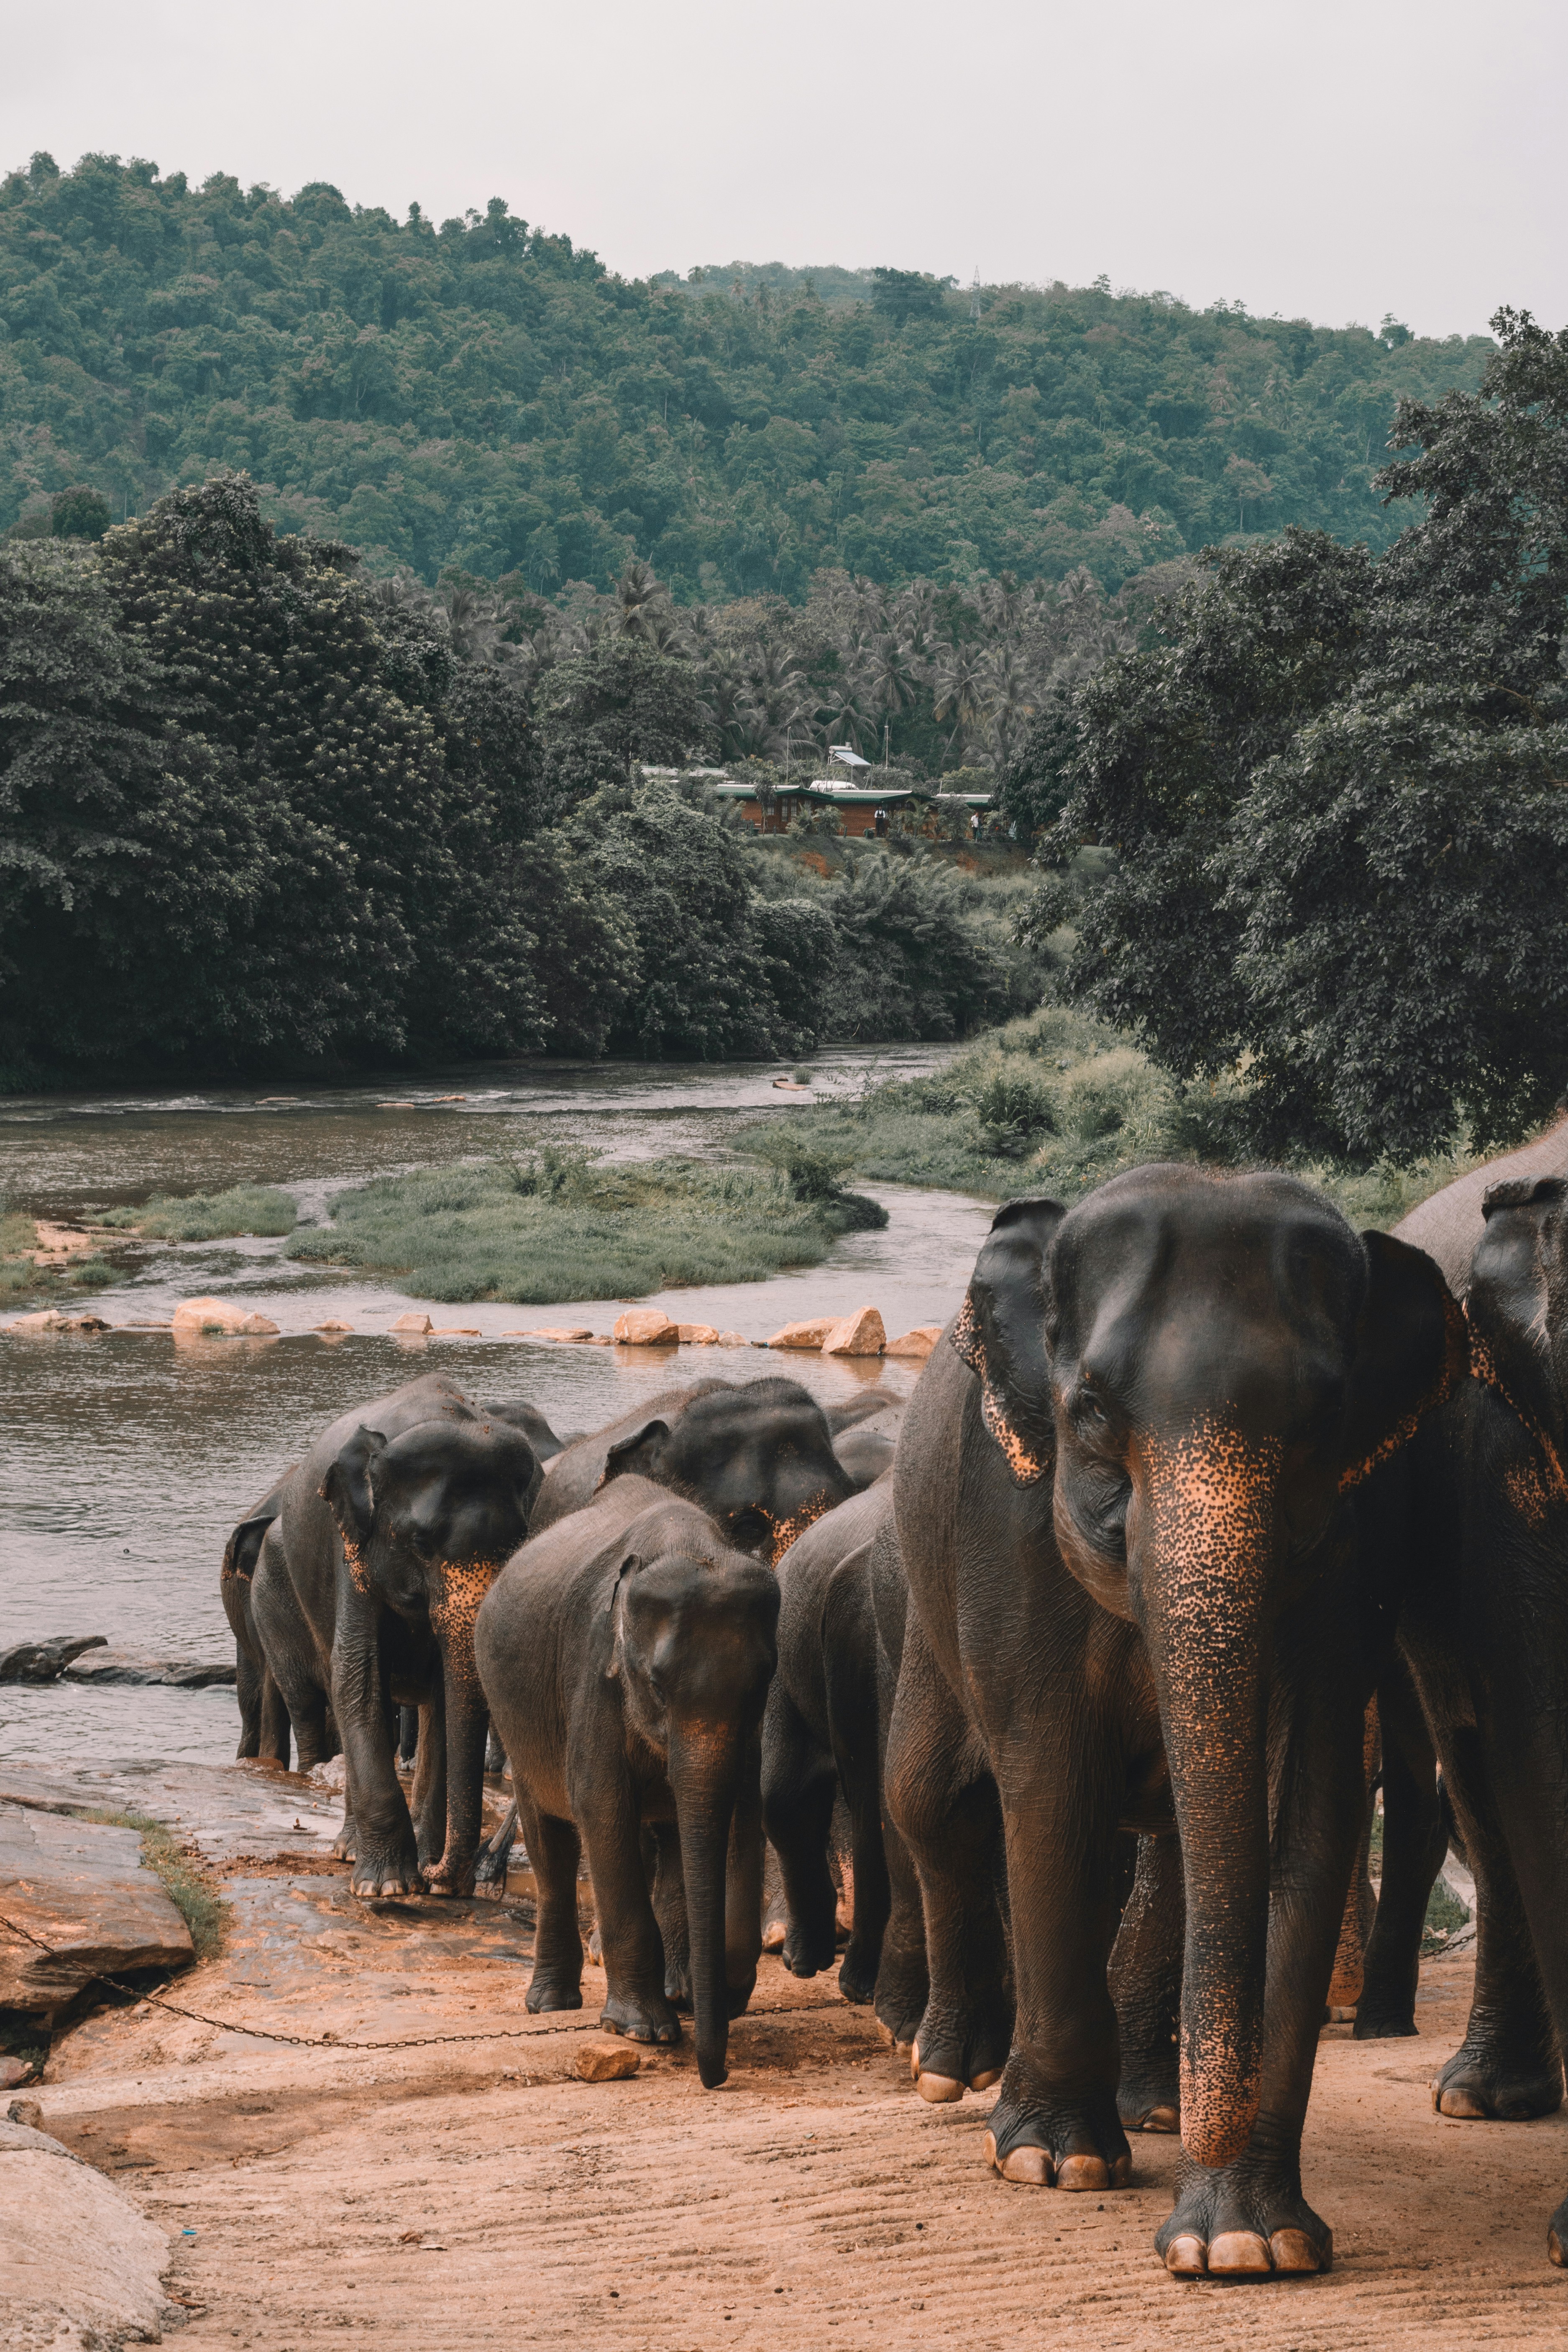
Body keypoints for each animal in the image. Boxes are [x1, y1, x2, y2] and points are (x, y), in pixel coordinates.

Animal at [266, 1373, 543, 1900]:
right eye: (420, 1543)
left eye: (518, 1545)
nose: (447, 1875)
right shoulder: (350, 1549)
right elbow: (357, 1680)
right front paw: (388, 1888)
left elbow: (445, 1698)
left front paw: (425, 1874)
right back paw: (350, 1850)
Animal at [472, 1477, 780, 2088]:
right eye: (656, 1684)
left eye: (762, 1681)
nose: (715, 2078)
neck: (690, 1545)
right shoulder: (594, 1671)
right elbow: (602, 1806)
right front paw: (643, 2030)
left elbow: (739, 1809)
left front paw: (714, 1996)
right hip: (516, 1715)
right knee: (551, 1839)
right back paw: (551, 2004)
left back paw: (675, 1990)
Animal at [888, 1176, 1467, 2277]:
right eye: (1090, 1409)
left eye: (1323, 1419)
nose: (1211, 2115)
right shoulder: (1005, 1524)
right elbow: (1049, 1791)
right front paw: (1054, 2164)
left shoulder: (1354, 1546)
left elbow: (1302, 1815)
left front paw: (1244, 2243)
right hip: (923, 1596)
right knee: (931, 1801)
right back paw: (949, 2073)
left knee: (1168, 1850)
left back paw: (1151, 2104)